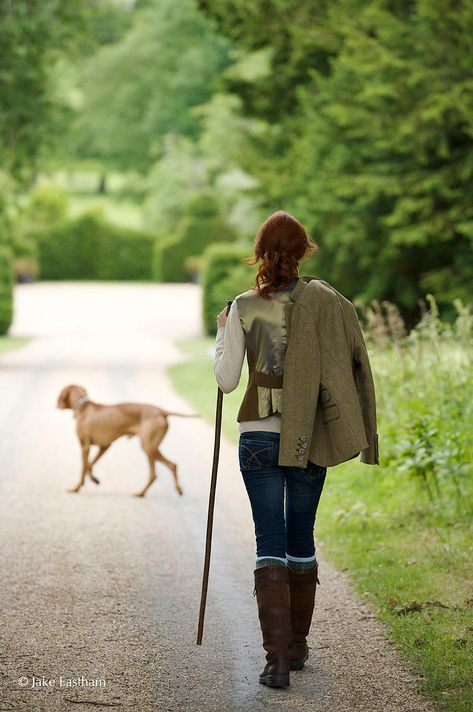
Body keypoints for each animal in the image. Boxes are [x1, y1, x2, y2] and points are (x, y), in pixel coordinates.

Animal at [57, 386, 199, 498]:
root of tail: (161, 411)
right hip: (152, 447)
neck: (83, 407)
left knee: (163, 469)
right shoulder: (105, 446)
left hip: (148, 447)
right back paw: (150, 492)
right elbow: (89, 465)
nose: (56, 404)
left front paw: (76, 488)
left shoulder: (85, 447)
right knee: (168, 467)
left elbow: (84, 467)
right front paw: (94, 479)